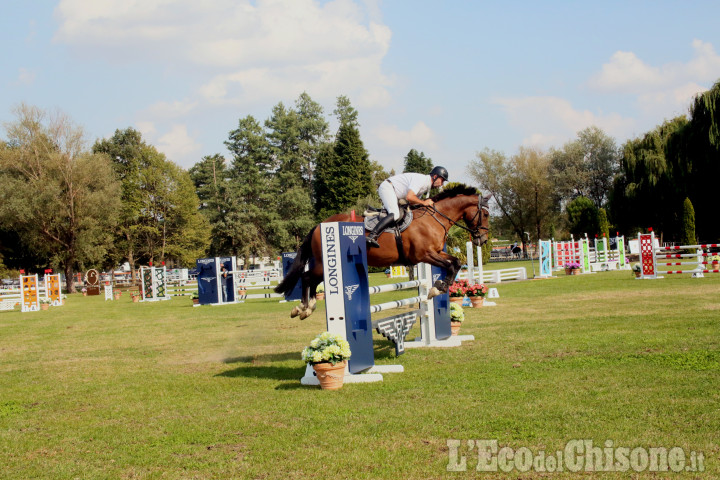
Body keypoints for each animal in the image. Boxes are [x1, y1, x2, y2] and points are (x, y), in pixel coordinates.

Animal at [272, 184, 492, 318]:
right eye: (486, 213)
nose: (483, 239)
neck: (434, 218)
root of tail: (320, 225)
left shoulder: (437, 252)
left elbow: (456, 262)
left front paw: (438, 287)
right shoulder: (425, 255)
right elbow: (452, 265)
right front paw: (437, 288)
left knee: (311, 279)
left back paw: (306, 308)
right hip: (322, 263)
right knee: (307, 277)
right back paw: (303, 308)